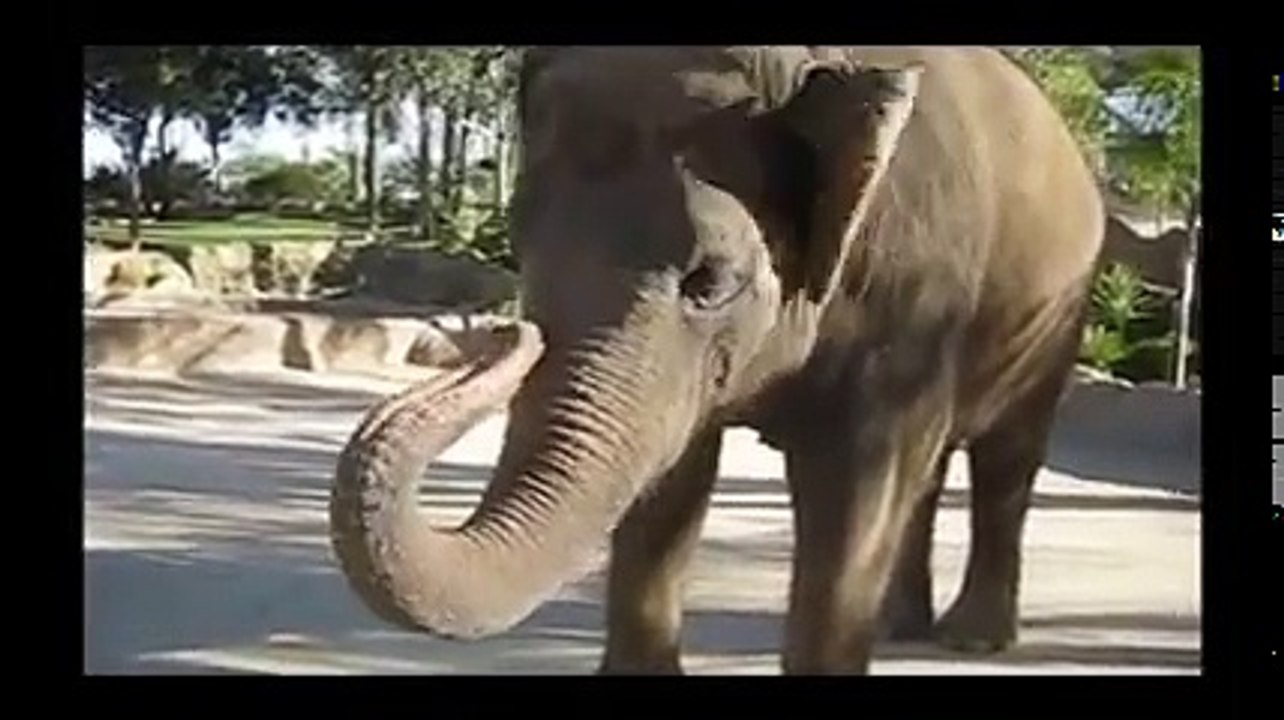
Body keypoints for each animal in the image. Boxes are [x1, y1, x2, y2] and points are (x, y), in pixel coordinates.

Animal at [329, 46, 1105, 675]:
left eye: (709, 281)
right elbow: (670, 476)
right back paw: (899, 627)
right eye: (518, 243)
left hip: (1056, 320)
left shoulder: (912, 286)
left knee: (1004, 460)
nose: (506, 337)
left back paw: (972, 638)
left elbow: (857, 482)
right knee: (932, 471)